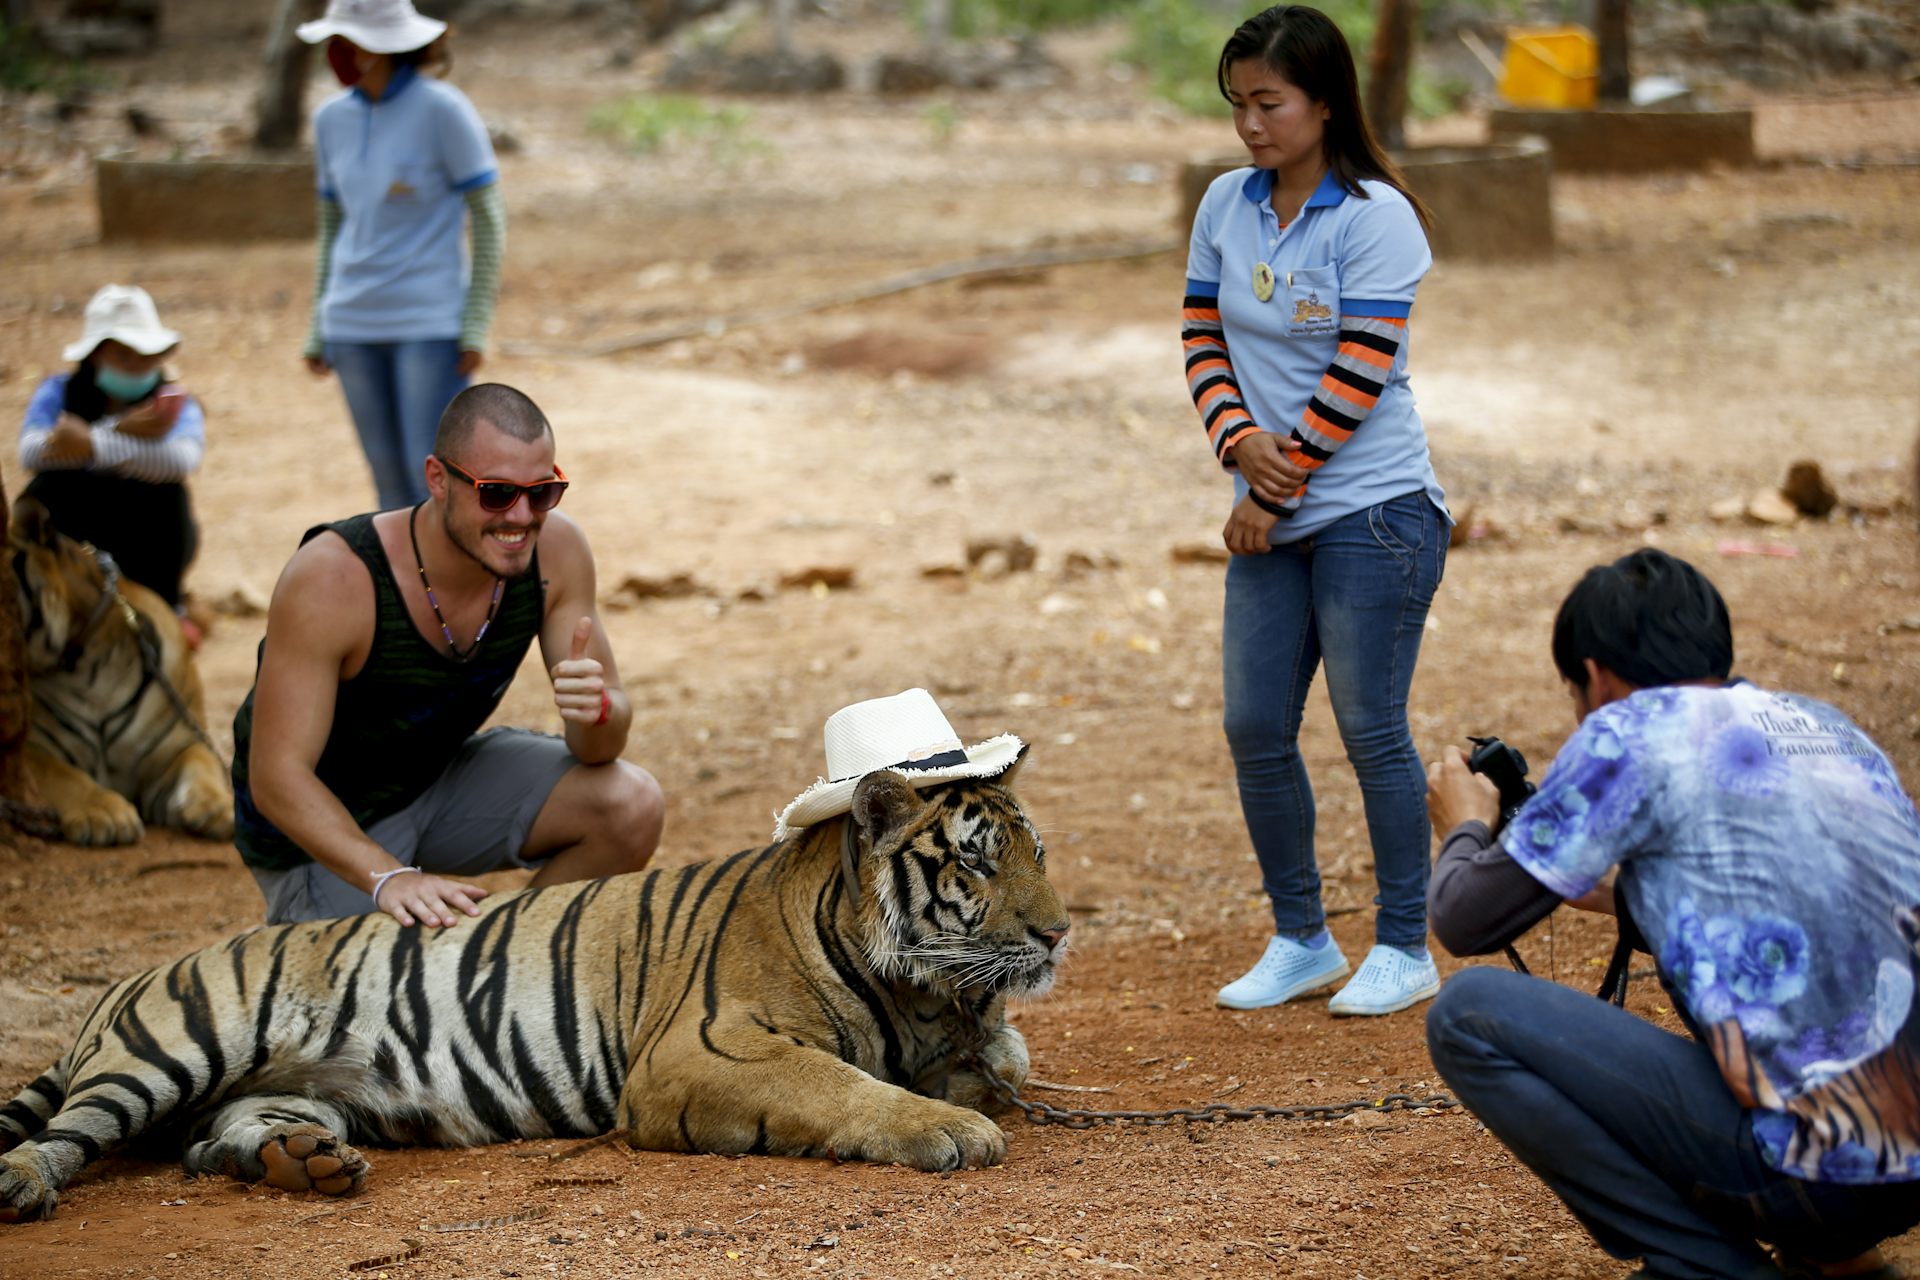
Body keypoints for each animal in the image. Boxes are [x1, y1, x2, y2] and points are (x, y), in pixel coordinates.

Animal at [0, 759, 1067, 1220]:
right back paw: (22, 1185)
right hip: (175, 1046)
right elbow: (838, 1085)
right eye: (976, 860)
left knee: (211, 1143)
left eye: (1038, 852)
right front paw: (954, 1129)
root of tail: (130, 978)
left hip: (288, 1091)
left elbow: (1001, 1060)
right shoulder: (698, 1050)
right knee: (73, 1134)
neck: (921, 992)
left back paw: (299, 1166)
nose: (1058, 932)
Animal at [7, 495, 234, 844]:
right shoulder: (28, 748)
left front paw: (216, 807)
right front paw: (104, 813)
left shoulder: (175, 743)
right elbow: (57, 773)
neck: (86, 670)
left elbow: (200, 760)